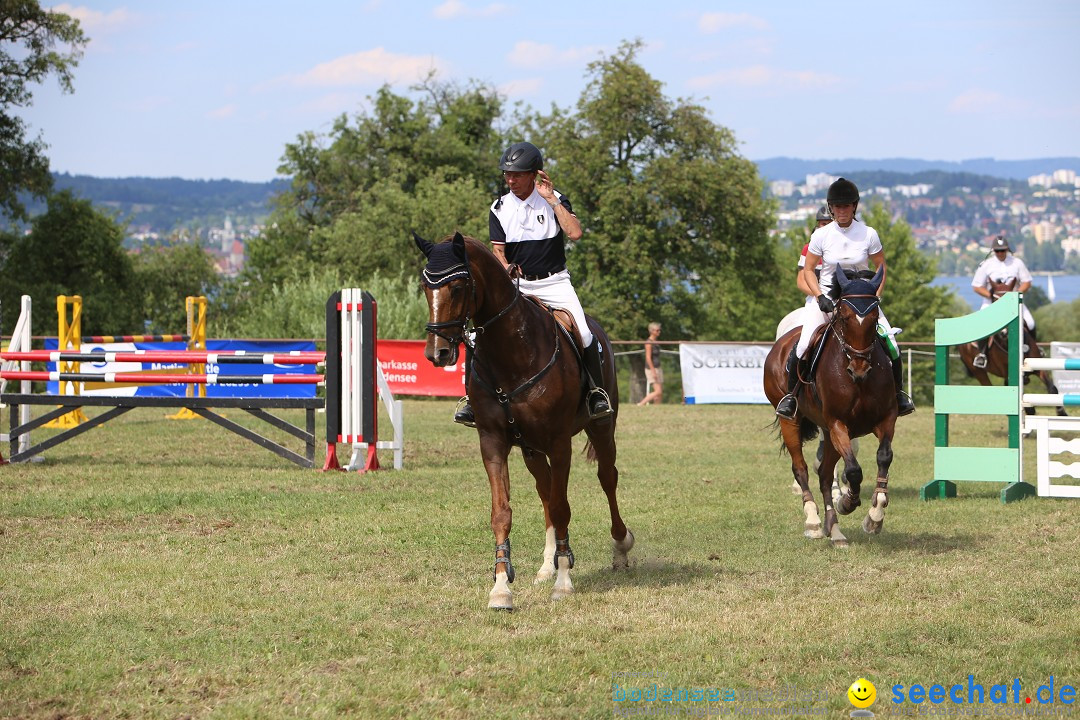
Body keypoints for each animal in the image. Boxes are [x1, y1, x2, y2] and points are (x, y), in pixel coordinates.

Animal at [412, 229, 630, 608]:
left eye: (458, 286)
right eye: (427, 286)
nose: (437, 353)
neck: (512, 352)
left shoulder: (559, 443)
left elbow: (562, 507)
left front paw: (564, 582)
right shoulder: (493, 442)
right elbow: (504, 512)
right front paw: (501, 588)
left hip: (600, 428)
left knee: (607, 478)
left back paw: (619, 547)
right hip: (531, 449)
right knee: (545, 491)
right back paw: (547, 565)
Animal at [764, 267, 898, 548]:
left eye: (874, 318)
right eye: (845, 318)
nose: (859, 369)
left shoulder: (886, 419)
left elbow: (884, 457)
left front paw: (874, 517)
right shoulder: (838, 424)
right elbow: (854, 470)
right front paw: (847, 502)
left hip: (826, 430)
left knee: (825, 474)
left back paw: (835, 531)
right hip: (792, 421)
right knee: (801, 469)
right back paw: (813, 522)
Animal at [959, 280, 1067, 416]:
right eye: (994, 301)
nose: (1004, 332)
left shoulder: (1036, 367)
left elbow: (1052, 388)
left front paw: (1062, 413)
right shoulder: (1007, 373)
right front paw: (1030, 410)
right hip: (978, 372)